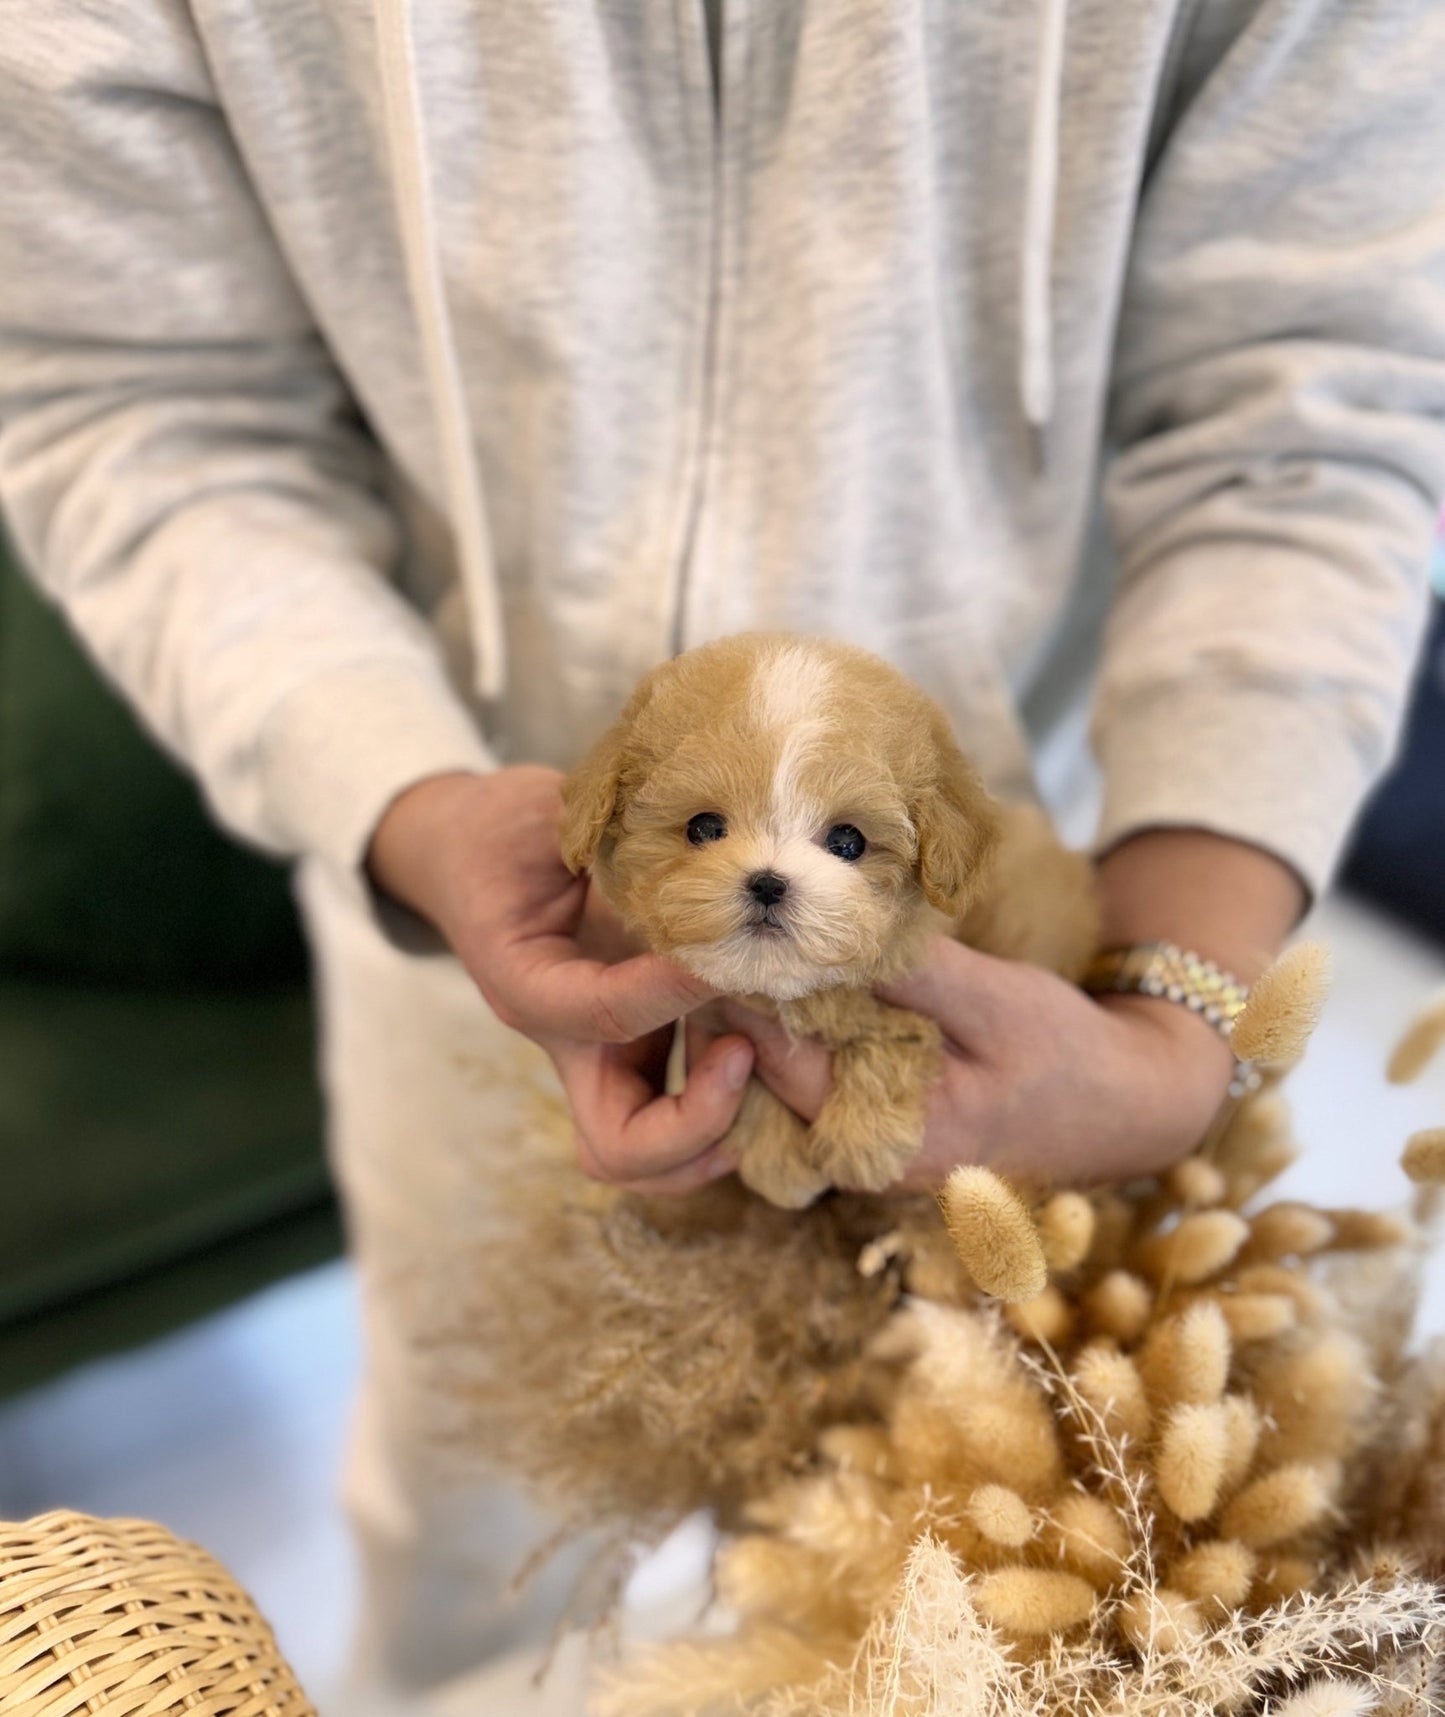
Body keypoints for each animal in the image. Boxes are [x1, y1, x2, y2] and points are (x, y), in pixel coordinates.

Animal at [556, 631, 1091, 1208]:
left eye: (848, 842)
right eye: (703, 828)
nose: (768, 882)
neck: (795, 994)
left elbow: (896, 1037)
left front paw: (864, 1141)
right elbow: (752, 1074)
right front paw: (778, 1162)